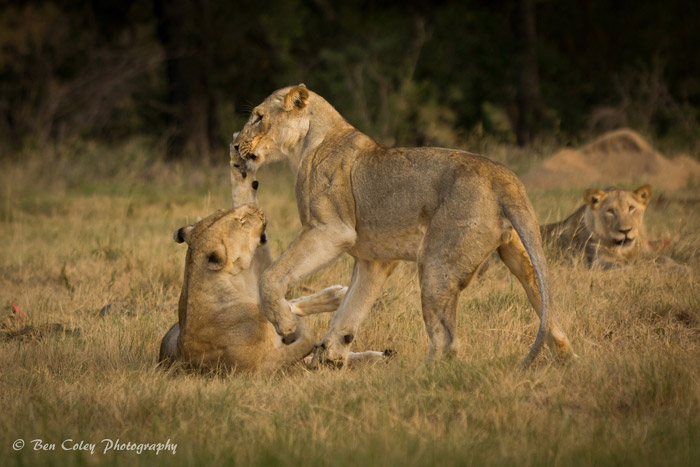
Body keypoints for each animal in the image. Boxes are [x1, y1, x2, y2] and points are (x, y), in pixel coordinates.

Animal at [235, 85, 576, 370]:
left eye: (258, 117)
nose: (236, 144)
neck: (307, 142)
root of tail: (505, 178)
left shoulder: (331, 229)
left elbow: (271, 277)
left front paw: (287, 325)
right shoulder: (375, 260)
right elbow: (352, 307)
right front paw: (329, 355)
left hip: (437, 264)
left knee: (447, 340)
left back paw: (420, 377)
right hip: (518, 254)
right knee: (547, 310)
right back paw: (566, 359)